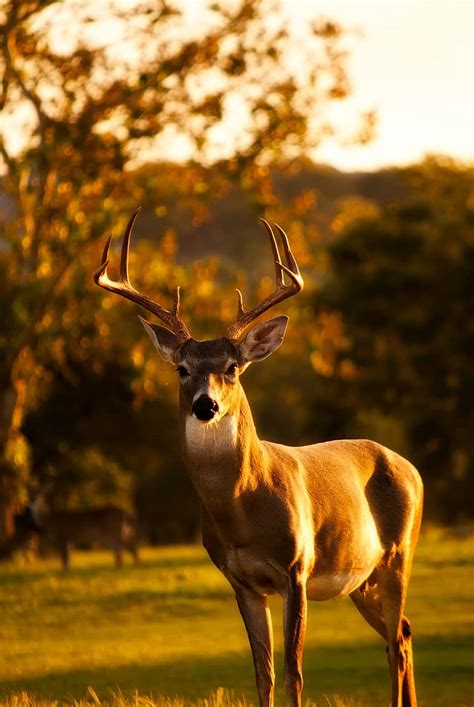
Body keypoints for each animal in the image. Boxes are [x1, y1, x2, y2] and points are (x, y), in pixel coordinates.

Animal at [94, 209, 423, 707]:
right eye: (182, 369)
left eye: (232, 367)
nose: (205, 405)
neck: (243, 511)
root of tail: (411, 467)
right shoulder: (242, 582)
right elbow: (263, 674)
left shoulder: (296, 570)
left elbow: (294, 674)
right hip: (361, 578)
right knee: (401, 634)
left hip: (399, 554)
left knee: (396, 643)